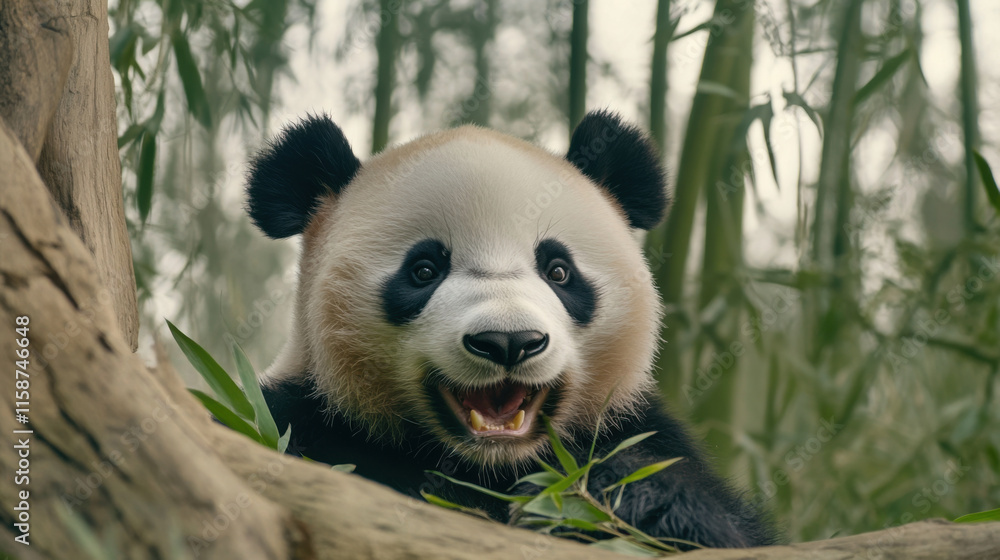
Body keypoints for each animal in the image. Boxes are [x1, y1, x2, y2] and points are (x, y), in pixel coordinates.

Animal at [246, 110, 777, 549]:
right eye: (423, 270)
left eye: (559, 271)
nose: (508, 342)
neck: (490, 466)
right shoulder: (304, 417)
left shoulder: (635, 426)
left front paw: (631, 503)